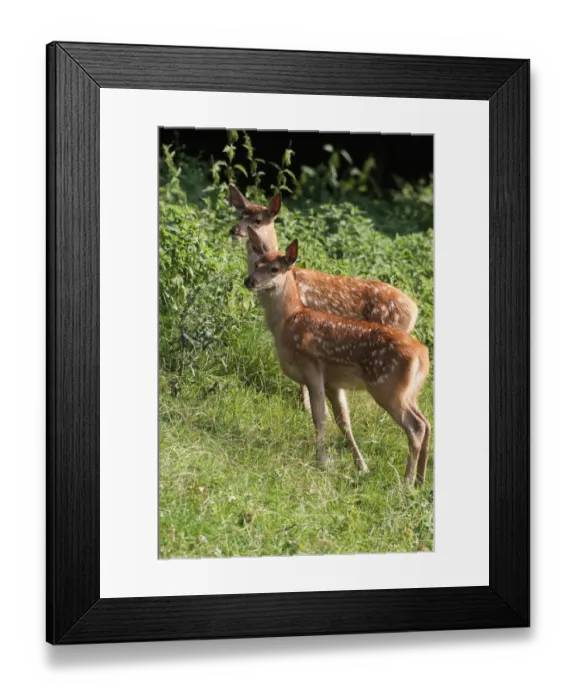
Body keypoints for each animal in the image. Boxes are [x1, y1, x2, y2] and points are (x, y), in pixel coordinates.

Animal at [243, 235, 431, 487]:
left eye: (274, 269)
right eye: (256, 264)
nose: (249, 280)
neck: (288, 321)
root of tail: (423, 354)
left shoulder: (311, 366)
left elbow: (319, 417)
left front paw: (322, 461)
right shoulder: (333, 382)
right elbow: (344, 422)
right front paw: (361, 467)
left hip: (388, 387)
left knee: (416, 426)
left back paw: (406, 483)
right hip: (410, 392)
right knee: (427, 423)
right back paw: (420, 481)